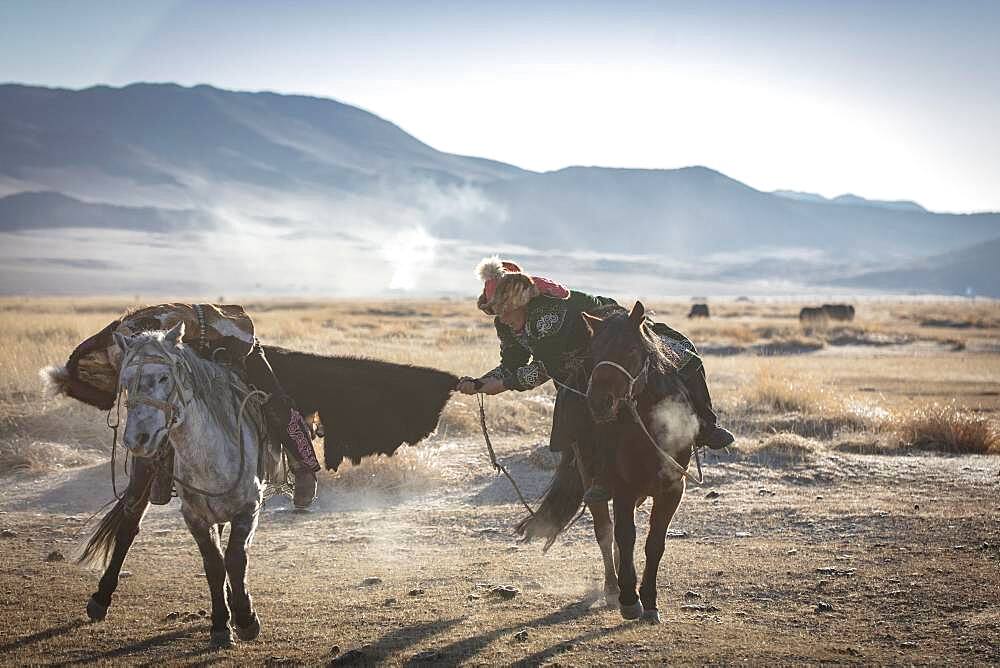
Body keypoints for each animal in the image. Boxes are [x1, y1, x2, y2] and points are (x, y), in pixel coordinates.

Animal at [83, 324, 274, 648]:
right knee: (127, 529)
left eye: (164, 377)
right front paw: (221, 625)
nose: (137, 438)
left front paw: (246, 618)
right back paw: (101, 598)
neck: (213, 454)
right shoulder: (193, 516)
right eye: (125, 383)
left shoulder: (249, 508)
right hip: (141, 480)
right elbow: (214, 564)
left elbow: (236, 558)